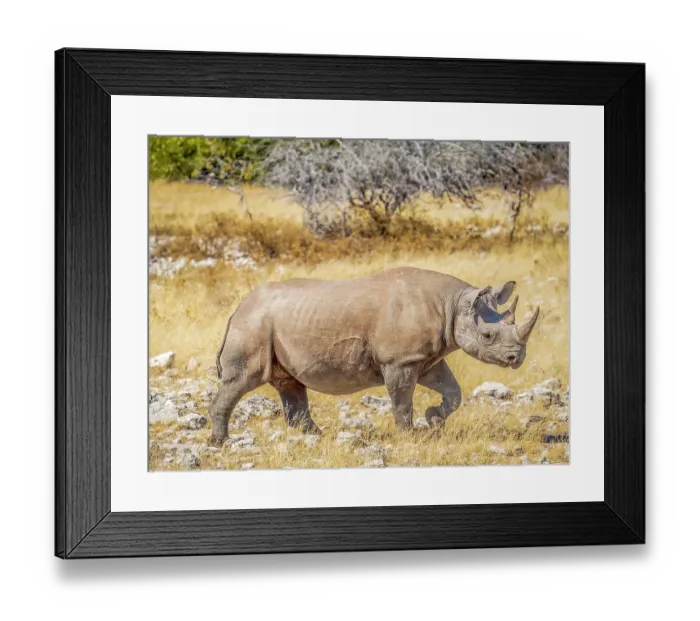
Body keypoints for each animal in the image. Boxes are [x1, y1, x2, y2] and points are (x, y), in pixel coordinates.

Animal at [209, 267, 539, 446]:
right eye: (488, 336)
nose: (516, 359)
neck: (454, 304)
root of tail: (238, 308)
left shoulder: (426, 357)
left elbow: (453, 392)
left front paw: (433, 419)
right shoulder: (401, 360)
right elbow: (402, 401)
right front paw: (409, 436)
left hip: (272, 324)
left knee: (289, 383)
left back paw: (319, 437)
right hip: (253, 325)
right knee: (245, 379)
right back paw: (222, 443)